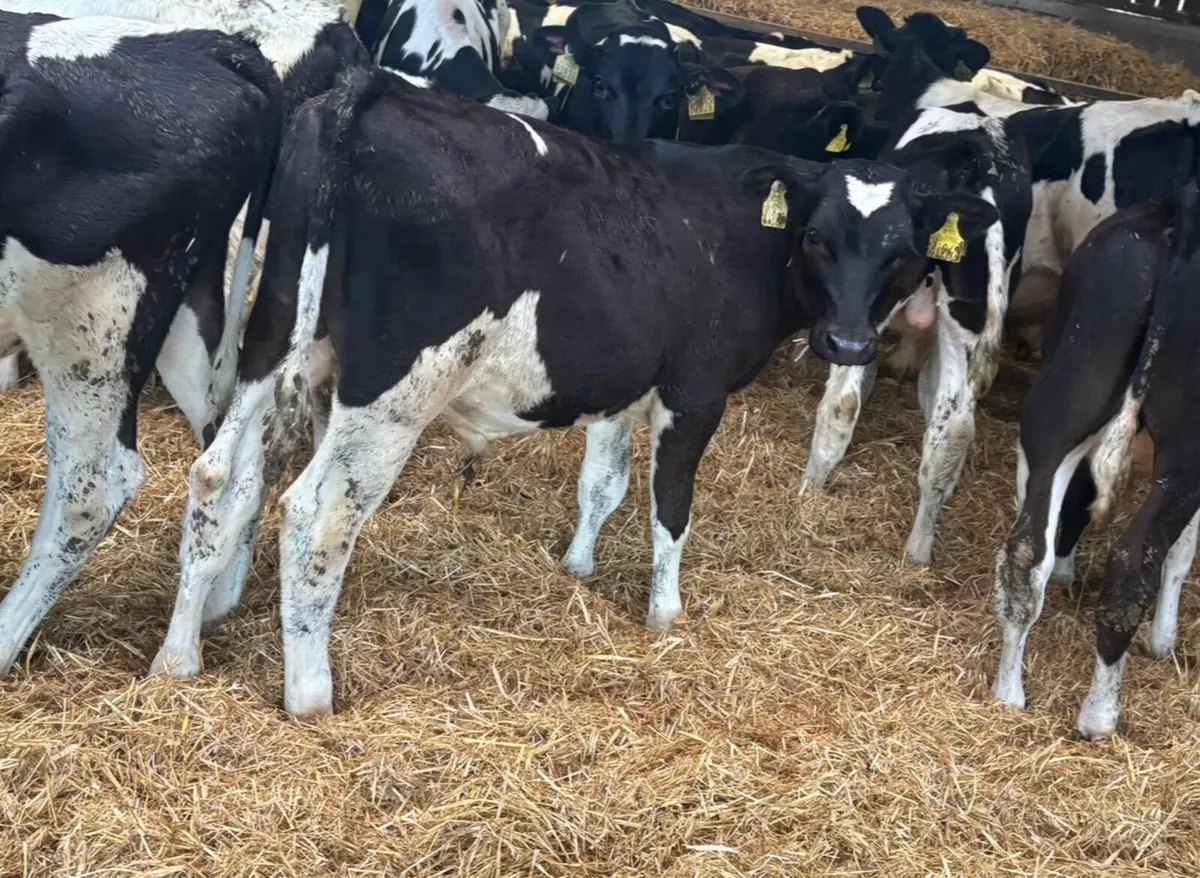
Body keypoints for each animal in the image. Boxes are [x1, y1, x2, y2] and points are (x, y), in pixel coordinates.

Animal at [0, 11, 281, 678]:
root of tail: (208, 44)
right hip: (181, 308)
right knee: (233, 449)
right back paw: (205, 618)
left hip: (90, 314)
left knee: (93, 488)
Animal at [148, 66, 998, 714]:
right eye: (817, 237)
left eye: (900, 251)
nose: (847, 343)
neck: (733, 228)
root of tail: (370, 89)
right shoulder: (695, 388)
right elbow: (669, 503)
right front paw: (665, 615)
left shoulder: (624, 384)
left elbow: (603, 482)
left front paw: (579, 567)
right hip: (395, 391)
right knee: (317, 514)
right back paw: (310, 694)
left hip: (275, 344)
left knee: (222, 476)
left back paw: (180, 654)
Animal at [991, 182, 1200, 740]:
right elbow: (1183, 549)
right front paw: (1164, 640)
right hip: (1186, 447)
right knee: (1134, 561)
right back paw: (1099, 715)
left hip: (1064, 393)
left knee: (1026, 551)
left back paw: (1007, 692)